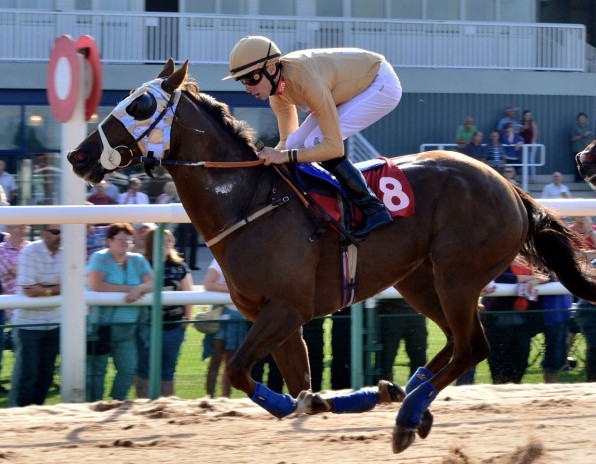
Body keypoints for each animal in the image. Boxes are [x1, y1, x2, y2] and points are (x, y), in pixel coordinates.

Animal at [70, 59, 596, 454]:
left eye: (139, 105)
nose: (78, 156)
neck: (248, 202)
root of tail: (509, 186)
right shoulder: (275, 320)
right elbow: (295, 384)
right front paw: (343, 397)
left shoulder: (287, 309)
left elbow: (244, 372)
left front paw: (329, 402)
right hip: (418, 279)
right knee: (455, 344)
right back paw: (410, 397)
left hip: (457, 276)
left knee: (472, 347)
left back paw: (408, 415)